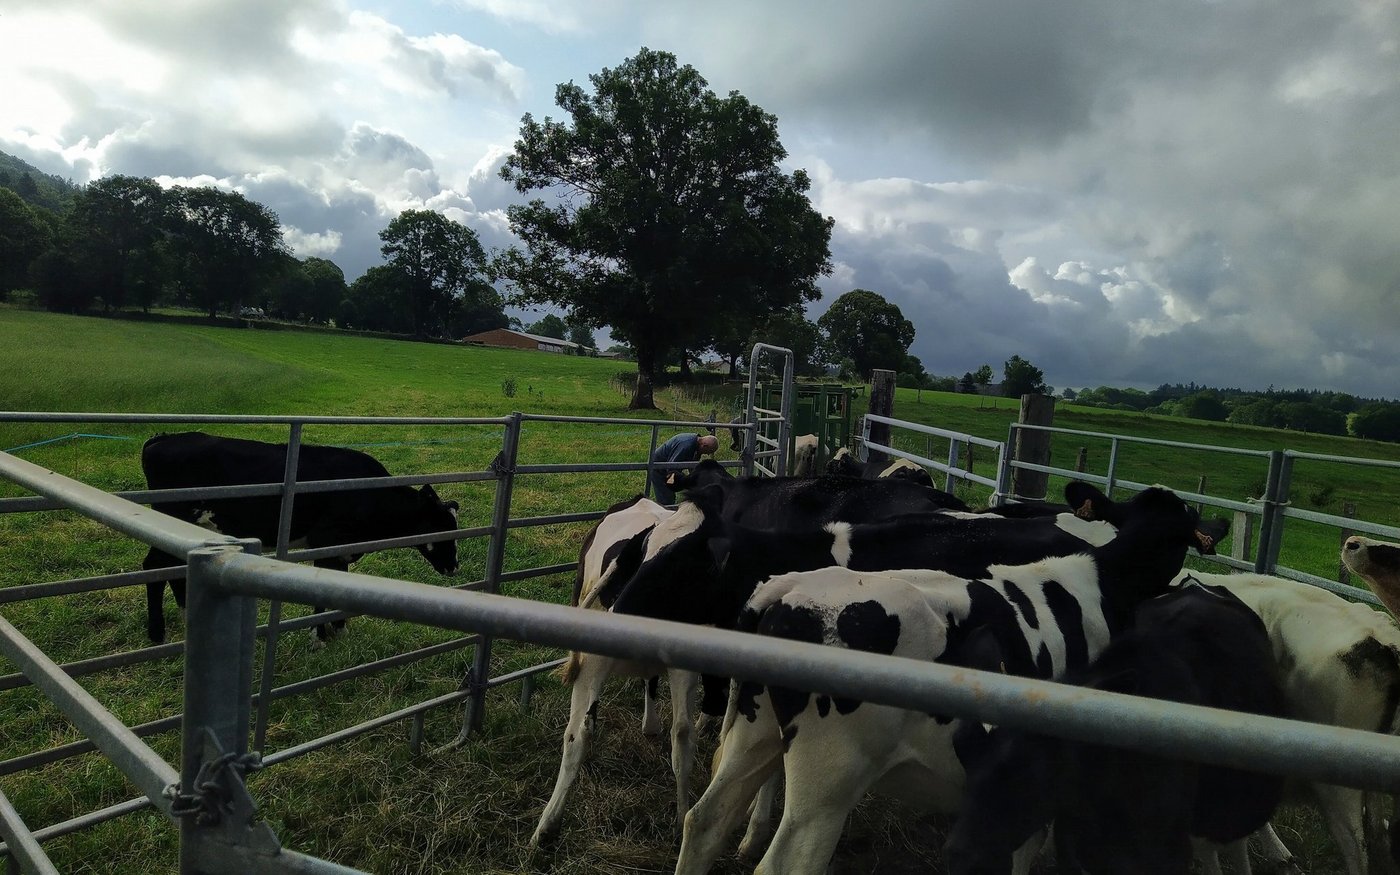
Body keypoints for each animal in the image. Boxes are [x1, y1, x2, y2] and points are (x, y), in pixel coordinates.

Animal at [139, 431, 460, 643]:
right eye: (440, 527)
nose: (454, 566)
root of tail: (163, 438)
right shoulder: (324, 541)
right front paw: (319, 635)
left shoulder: (341, 549)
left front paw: (339, 629)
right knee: (152, 567)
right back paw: (157, 633)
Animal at [673, 484, 1208, 875]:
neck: (1102, 584)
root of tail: (786, 590)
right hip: (829, 777)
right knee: (786, 863)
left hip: (755, 731)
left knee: (704, 821)